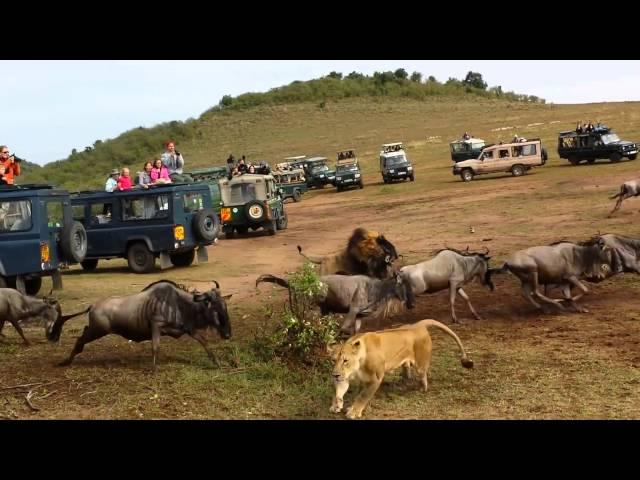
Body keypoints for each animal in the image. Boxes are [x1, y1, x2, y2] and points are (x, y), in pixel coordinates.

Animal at [328, 320, 472, 418]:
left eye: (345, 361)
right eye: (333, 360)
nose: (334, 375)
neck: (356, 367)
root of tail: (417, 325)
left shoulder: (376, 378)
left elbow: (363, 396)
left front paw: (353, 411)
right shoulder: (343, 377)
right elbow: (338, 392)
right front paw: (336, 405)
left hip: (420, 365)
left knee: (423, 374)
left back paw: (422, 388)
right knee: (406, 369)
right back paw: (403, 382)